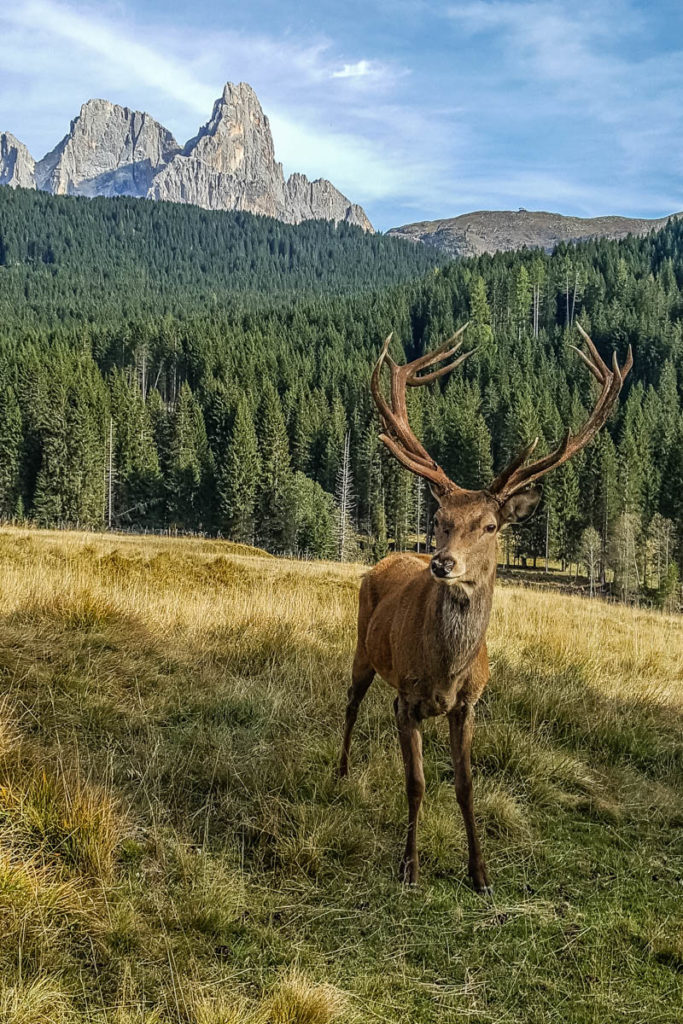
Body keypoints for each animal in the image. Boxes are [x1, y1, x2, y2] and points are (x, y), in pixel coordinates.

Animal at [339, 323, 634, 892]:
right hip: (363, 647)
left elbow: (466, 785)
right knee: (350, 703)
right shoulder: (406, 699)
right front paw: (409, 867)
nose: (442, 563)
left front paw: (480, 872)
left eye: (491, 525)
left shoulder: (469, 704)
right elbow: (415, 784)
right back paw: (339, 771)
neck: (446, 670)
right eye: (438, 517)